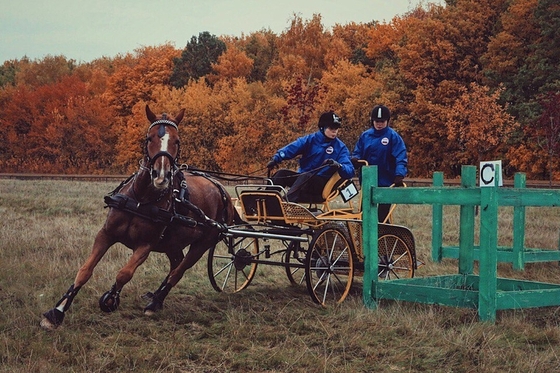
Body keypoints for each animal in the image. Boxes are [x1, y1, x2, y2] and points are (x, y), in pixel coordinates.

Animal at [41, 104, 238, 328]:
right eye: (149, 138)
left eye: (177, 141)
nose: (161, 176)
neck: (141, 199)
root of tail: (221, 189)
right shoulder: (105, 234)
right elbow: (84, 271)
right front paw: (57, 311)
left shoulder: (145, 246)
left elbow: (124, 274)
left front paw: (111, 298)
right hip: (172, 243)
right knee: (176, 263)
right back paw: (156, 298)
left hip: (203, 244)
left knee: (178, 271)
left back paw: (155, 303)